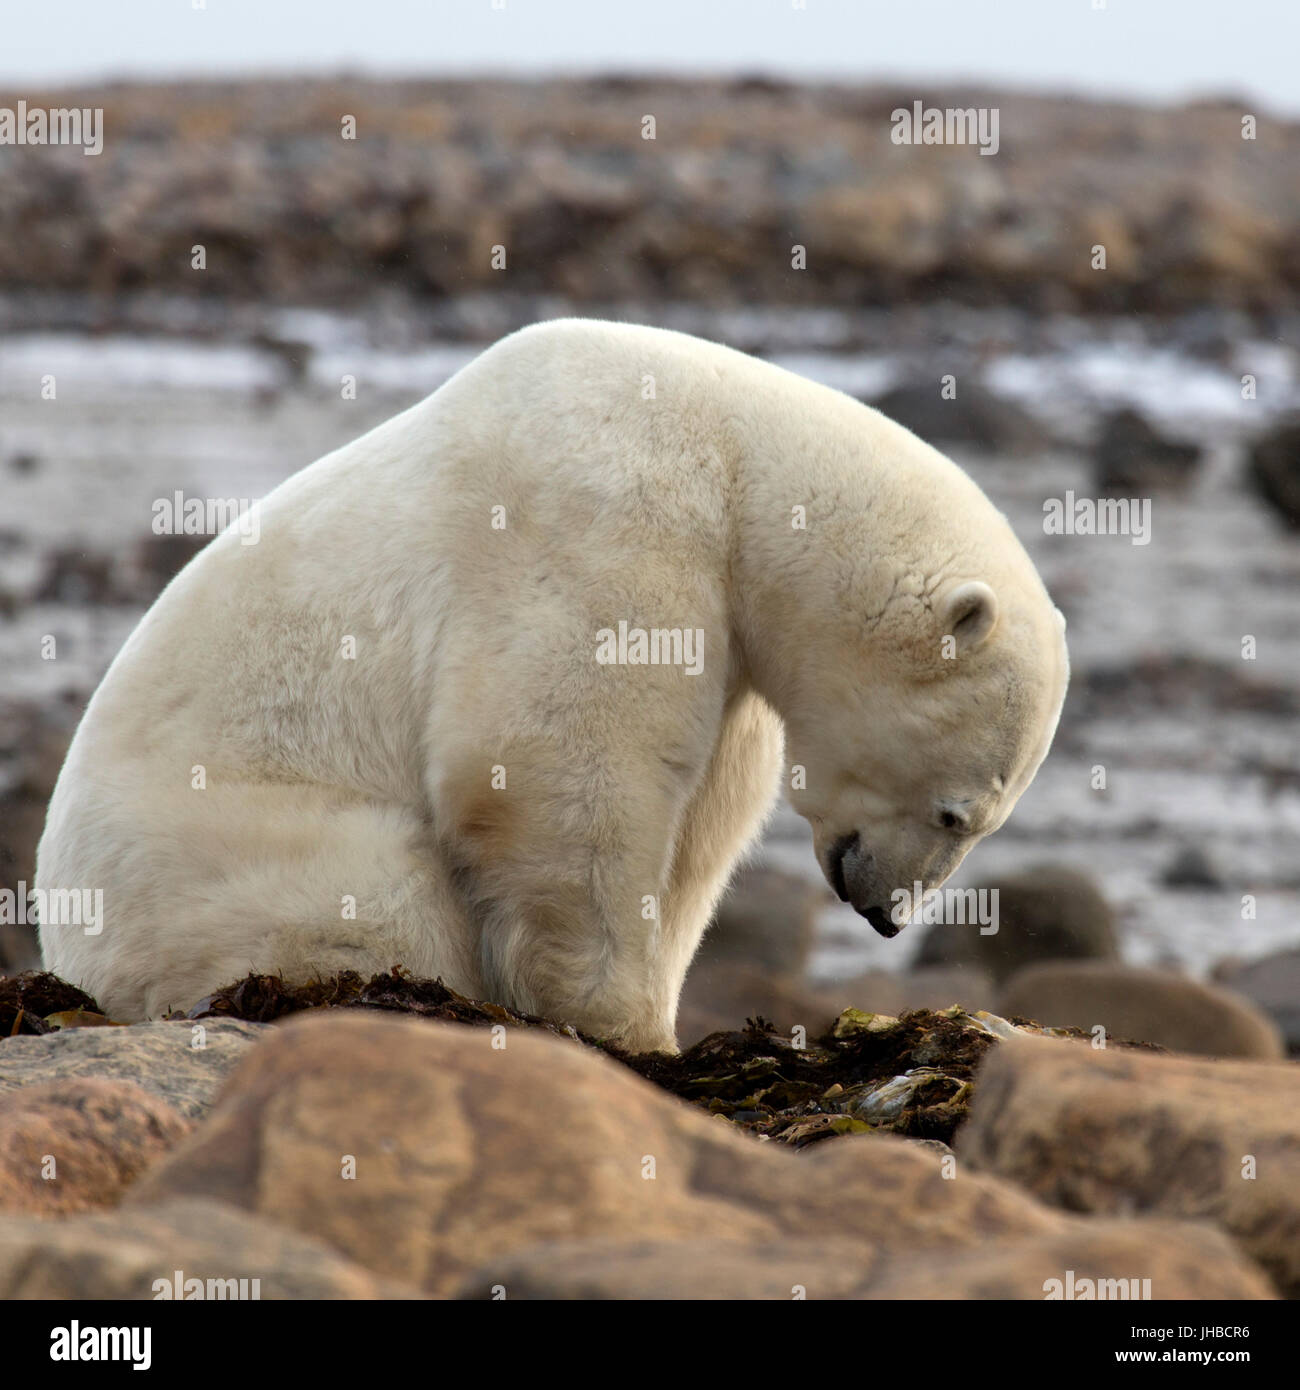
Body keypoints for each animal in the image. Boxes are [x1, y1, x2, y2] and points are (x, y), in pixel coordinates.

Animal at [38, 319, 1067, 1045]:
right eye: (958, 813)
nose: (886, 914)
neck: (732, 457)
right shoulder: (604, 519)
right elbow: (557, 768)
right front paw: (622, 1027)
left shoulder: (728, 633)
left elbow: (699, 827)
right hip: (229, 852)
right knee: (371, 899)